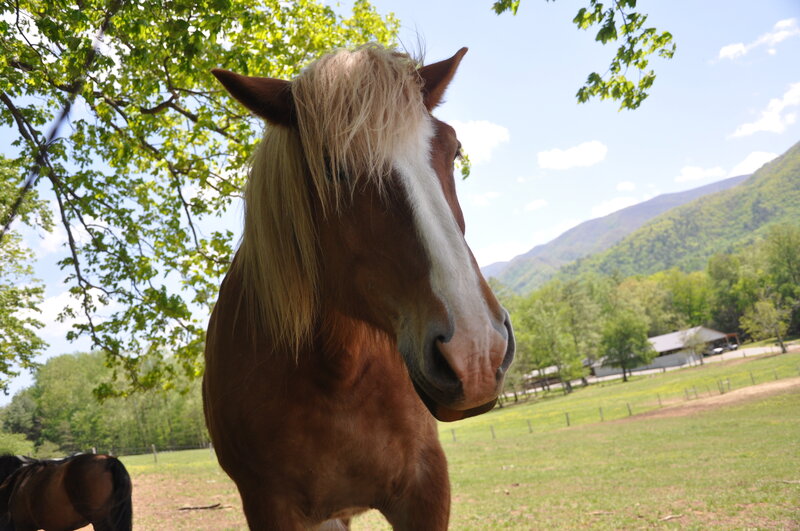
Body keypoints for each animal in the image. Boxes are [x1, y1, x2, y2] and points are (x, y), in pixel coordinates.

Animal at [204, 43, 515, 529]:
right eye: (333, 169)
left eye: (454, 149)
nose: (476, 354)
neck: (338, 375)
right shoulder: (270, 506)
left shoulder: (426, 487)